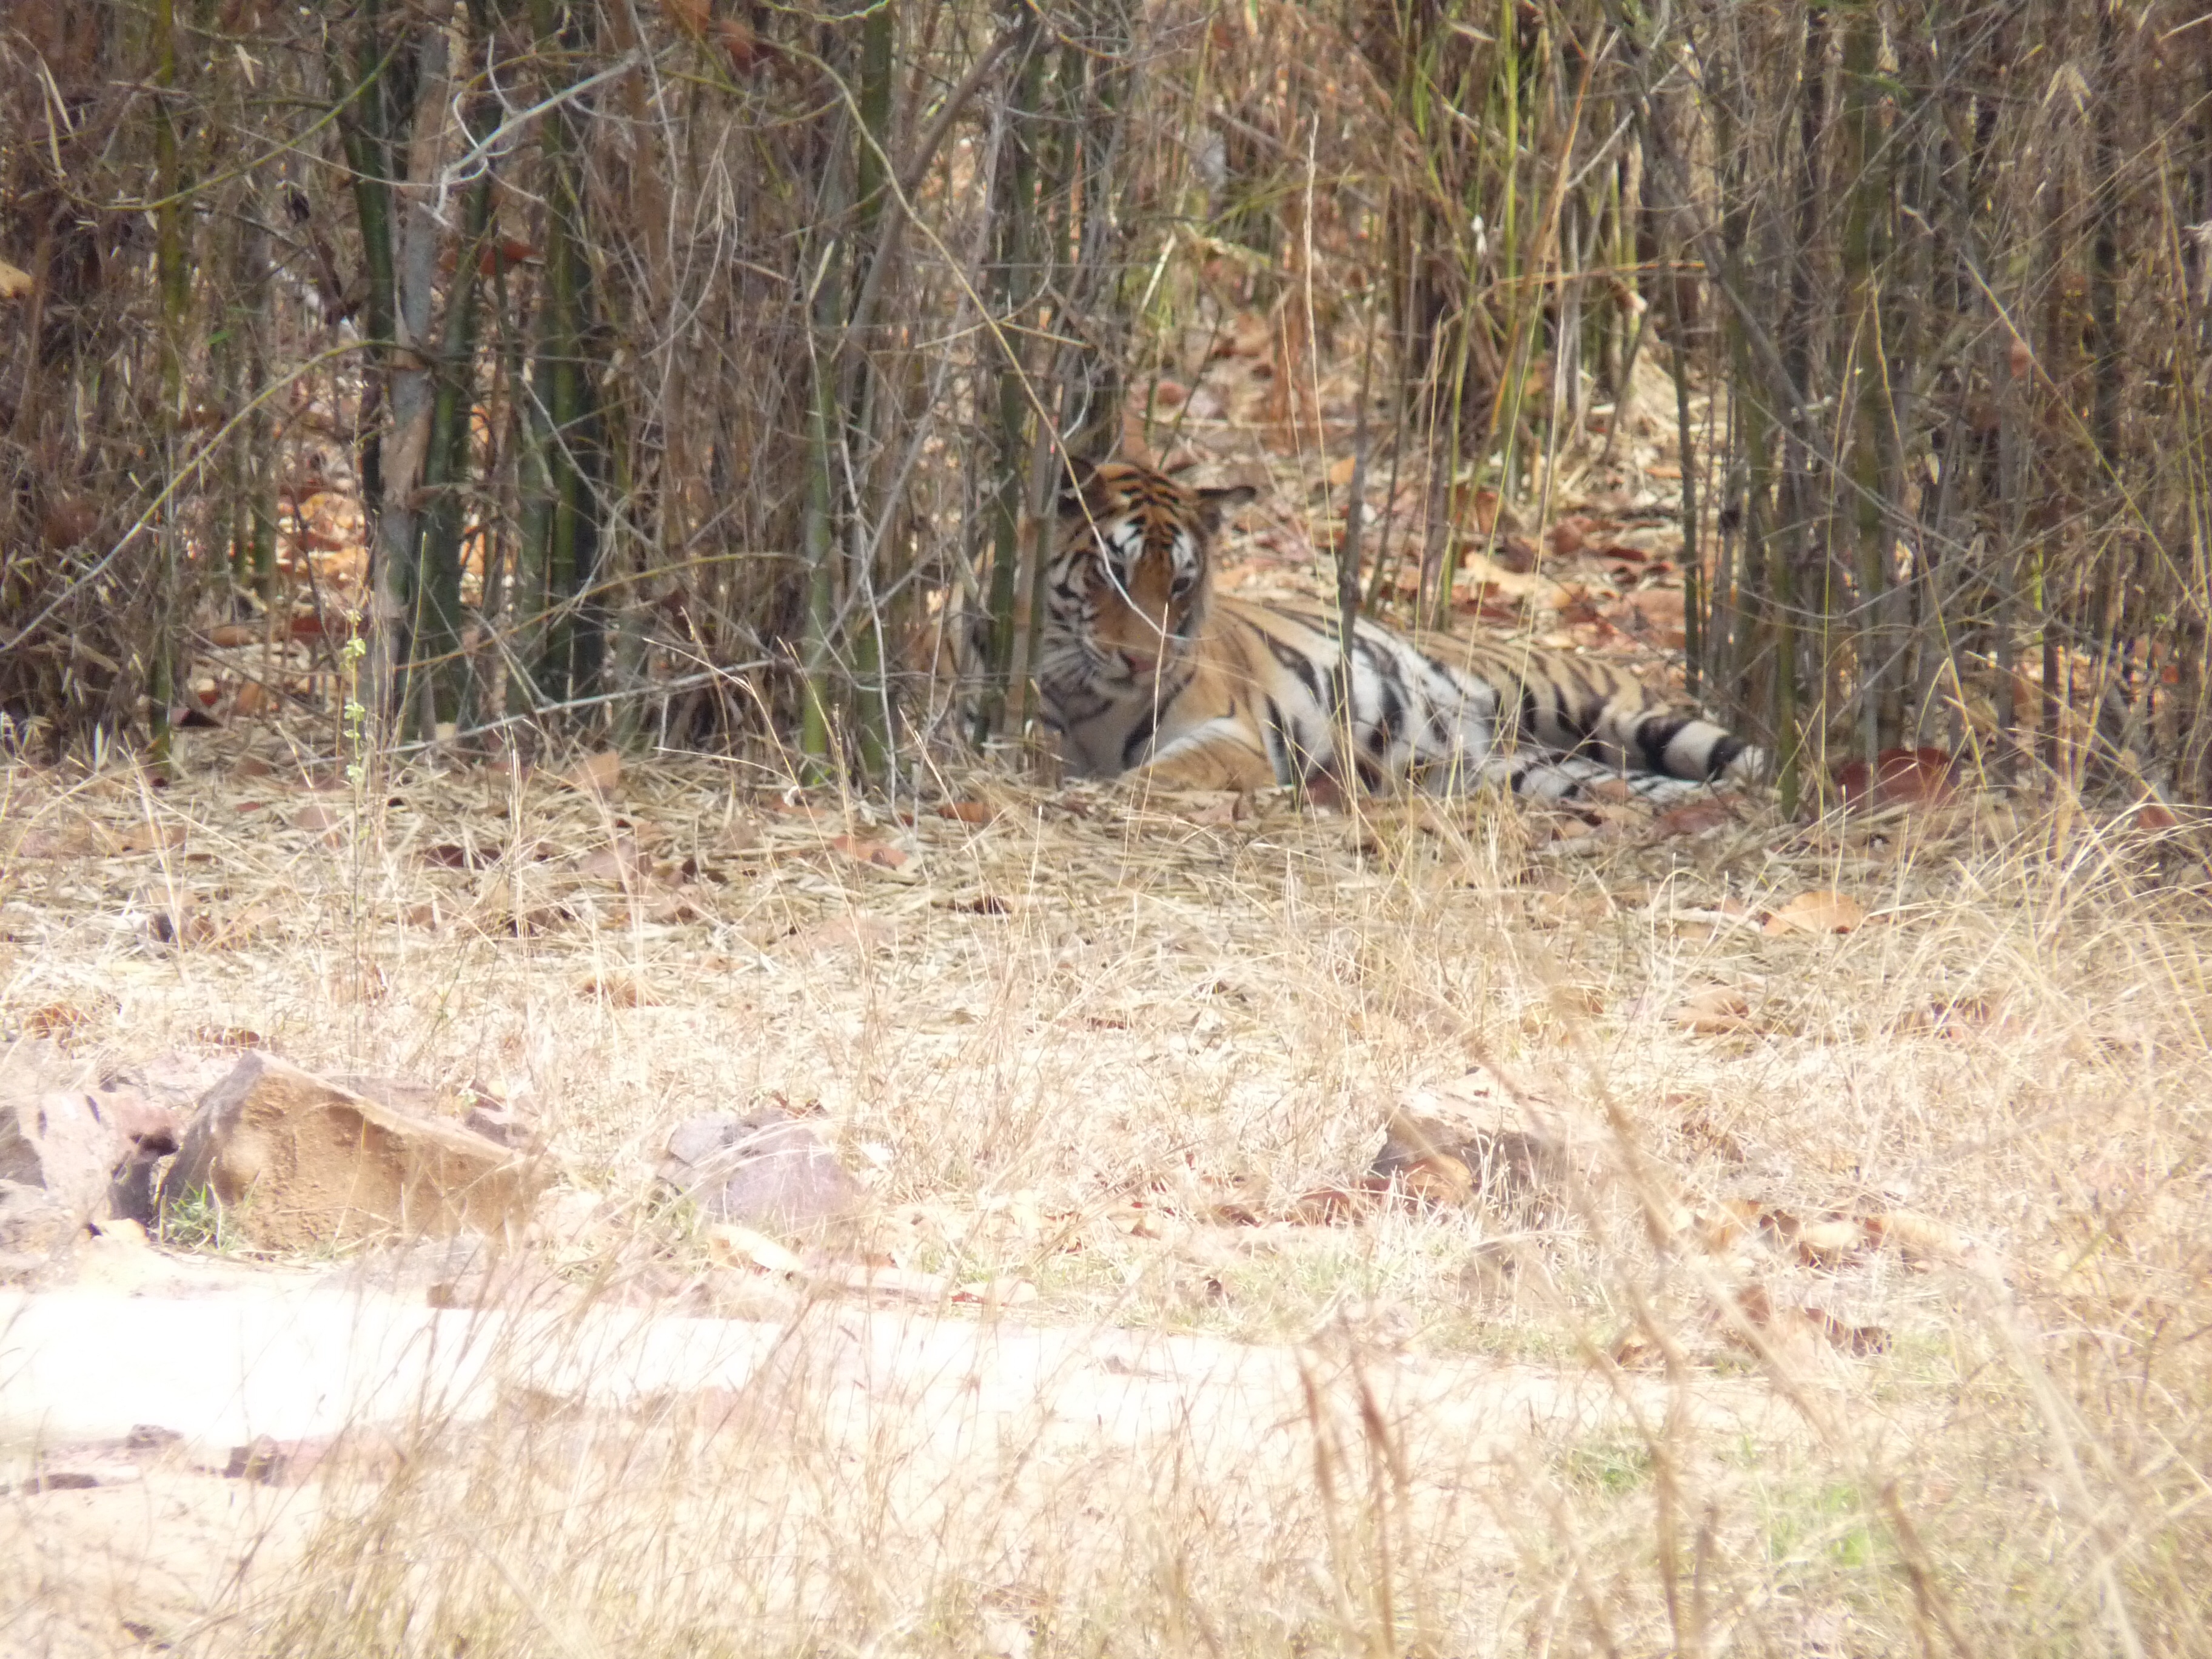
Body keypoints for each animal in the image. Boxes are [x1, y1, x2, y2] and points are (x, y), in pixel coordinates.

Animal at [1035, 460, 1761, 802]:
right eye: (1113, 571)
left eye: (1181, 583)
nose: (1140, 661)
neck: (1088, 695)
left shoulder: (1233, 737)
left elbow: (1168, 771)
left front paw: (1111, 793)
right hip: (1537, 771)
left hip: (1606, 711)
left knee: (1742, 759)